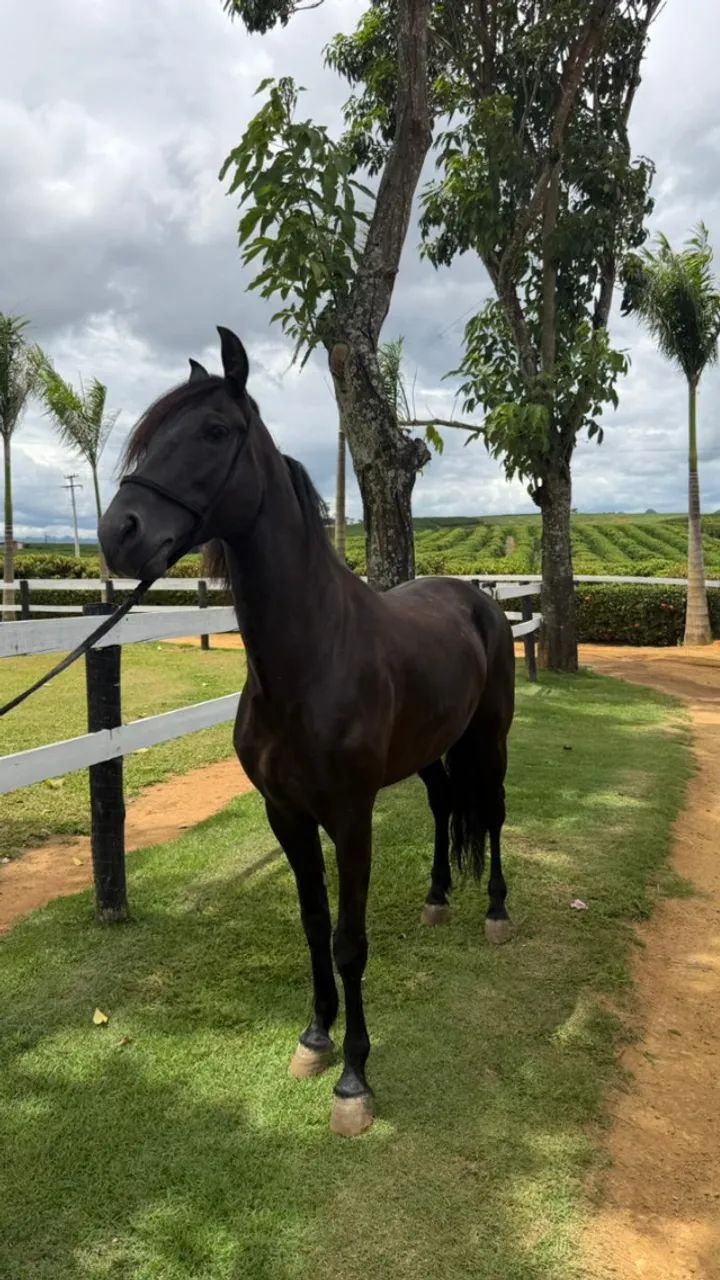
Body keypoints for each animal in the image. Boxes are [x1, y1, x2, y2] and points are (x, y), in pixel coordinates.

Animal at [99, 327, 516, 1138]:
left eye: (214, 431)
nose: (117, 533)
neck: (311, 656)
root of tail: (476, 597)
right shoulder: (285, 814)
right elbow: (314, 923)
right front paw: (316, 1039)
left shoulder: (350, 817)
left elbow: (349, 942)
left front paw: (354, 1080)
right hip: (430, 754)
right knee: (445, 807)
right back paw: (438, 900)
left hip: (491, 740)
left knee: (493, 814)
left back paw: (496, 912)